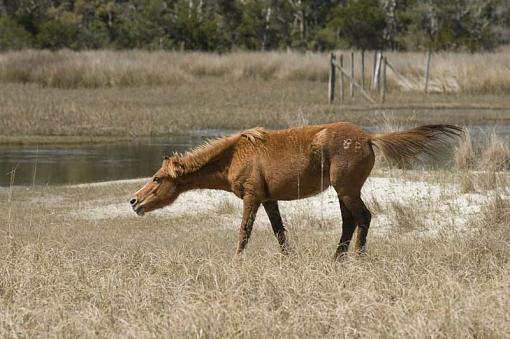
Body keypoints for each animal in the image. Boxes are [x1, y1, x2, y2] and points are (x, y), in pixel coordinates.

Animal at [130, 123, 462, 258]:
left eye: (157, 179)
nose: (134, 201)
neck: (235, 155)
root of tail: (369, 137)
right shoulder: (269, 199)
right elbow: (280, 232)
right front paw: (289, 259)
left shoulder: (252, 197)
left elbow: (244, 232)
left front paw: (235, 261)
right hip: (342, 192)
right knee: (349, 222)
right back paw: (336, 259)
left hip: (347, 189)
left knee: (363, 218)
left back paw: (357, 258)